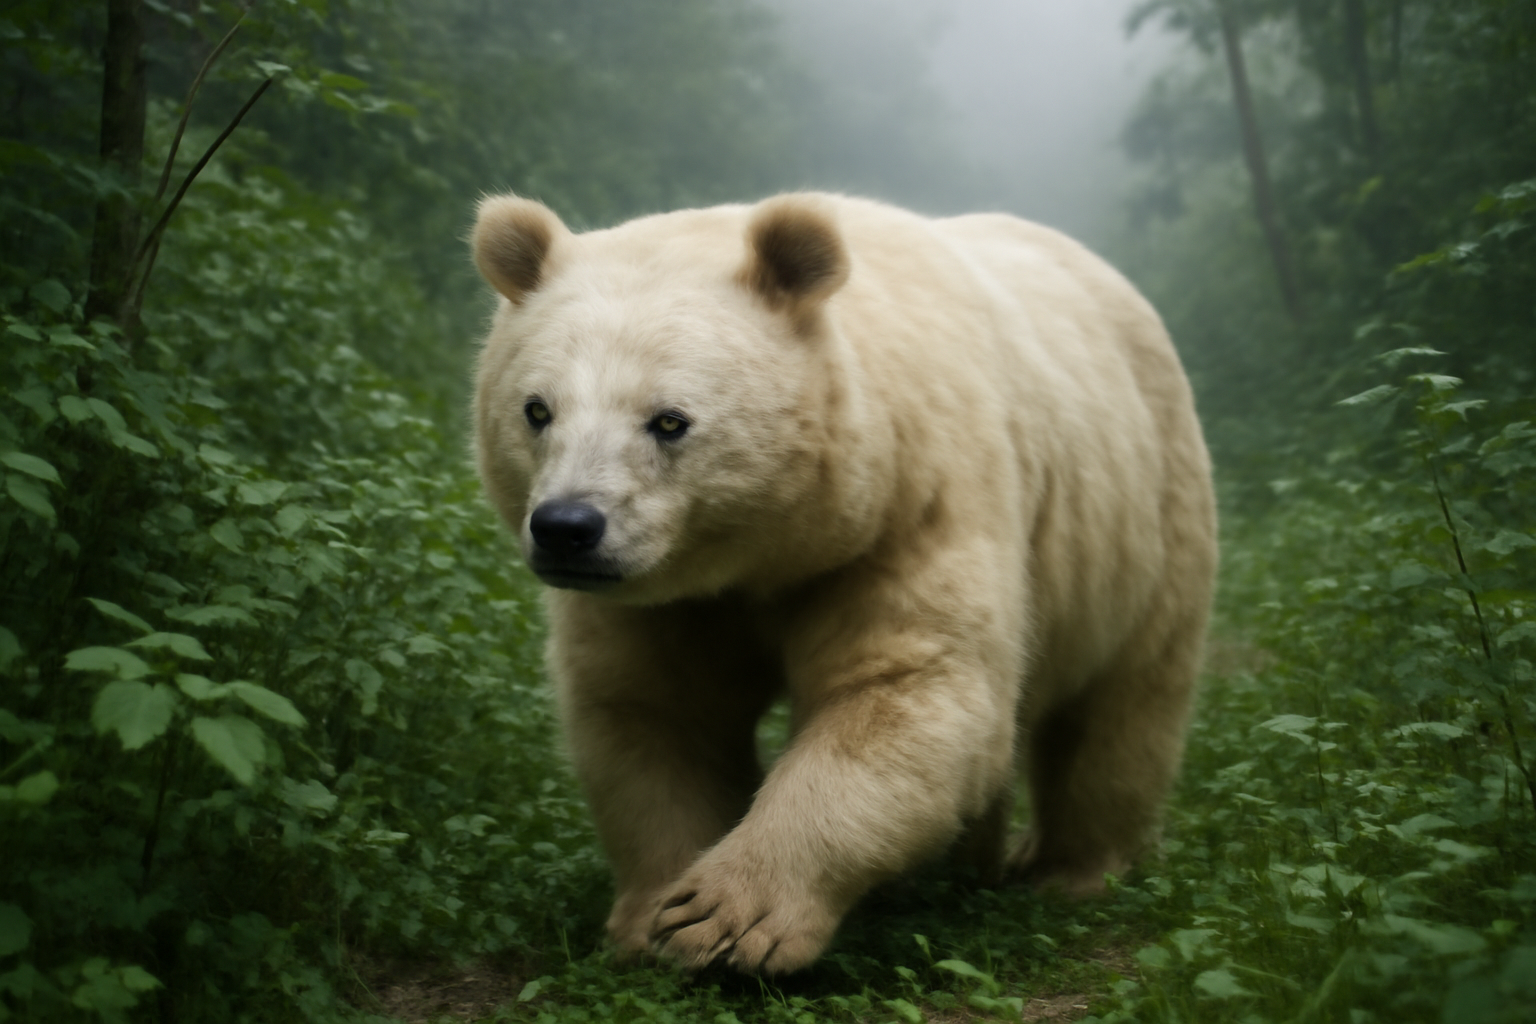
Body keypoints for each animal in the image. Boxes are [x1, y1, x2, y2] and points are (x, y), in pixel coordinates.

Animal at [470, 192, 1217, 976]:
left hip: (1149, 515)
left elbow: (906, 690)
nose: (566, 528)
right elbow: (657, 711)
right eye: (536, 409)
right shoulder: (665, 597)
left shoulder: (911, 508)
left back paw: (1072, 870)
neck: (775, 547)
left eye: (669, 420)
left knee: (1123, 710)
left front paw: (729, 918)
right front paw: (652, 919)